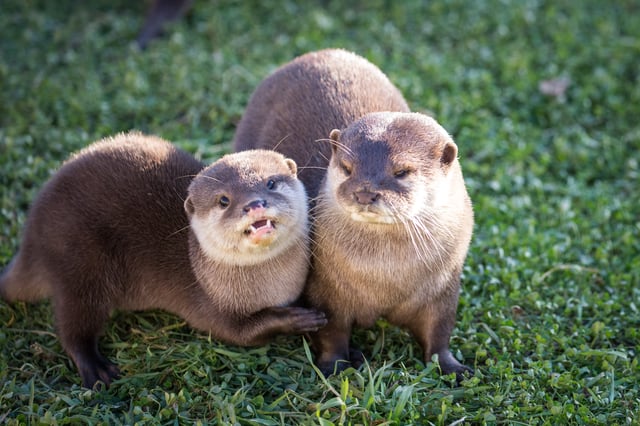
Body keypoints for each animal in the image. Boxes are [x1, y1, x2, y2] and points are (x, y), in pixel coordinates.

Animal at [0, 132, 326, 388]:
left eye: (270, 183)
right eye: (224, 200)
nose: (255, 204)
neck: (270, 290)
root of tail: (31, 232)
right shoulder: (212, 308)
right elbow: (243, 334)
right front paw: (298, 318)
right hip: (77, 258)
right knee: (73, 322)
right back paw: (96, 368)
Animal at [232, 49, 473, 380]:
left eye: (402, 171)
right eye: (347, 168)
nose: (365, 192)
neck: (385, 277)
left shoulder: (444, 287)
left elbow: (439, 332)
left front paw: (452, 367)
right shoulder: (325, 289)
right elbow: (331, 330)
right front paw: (335, 365)